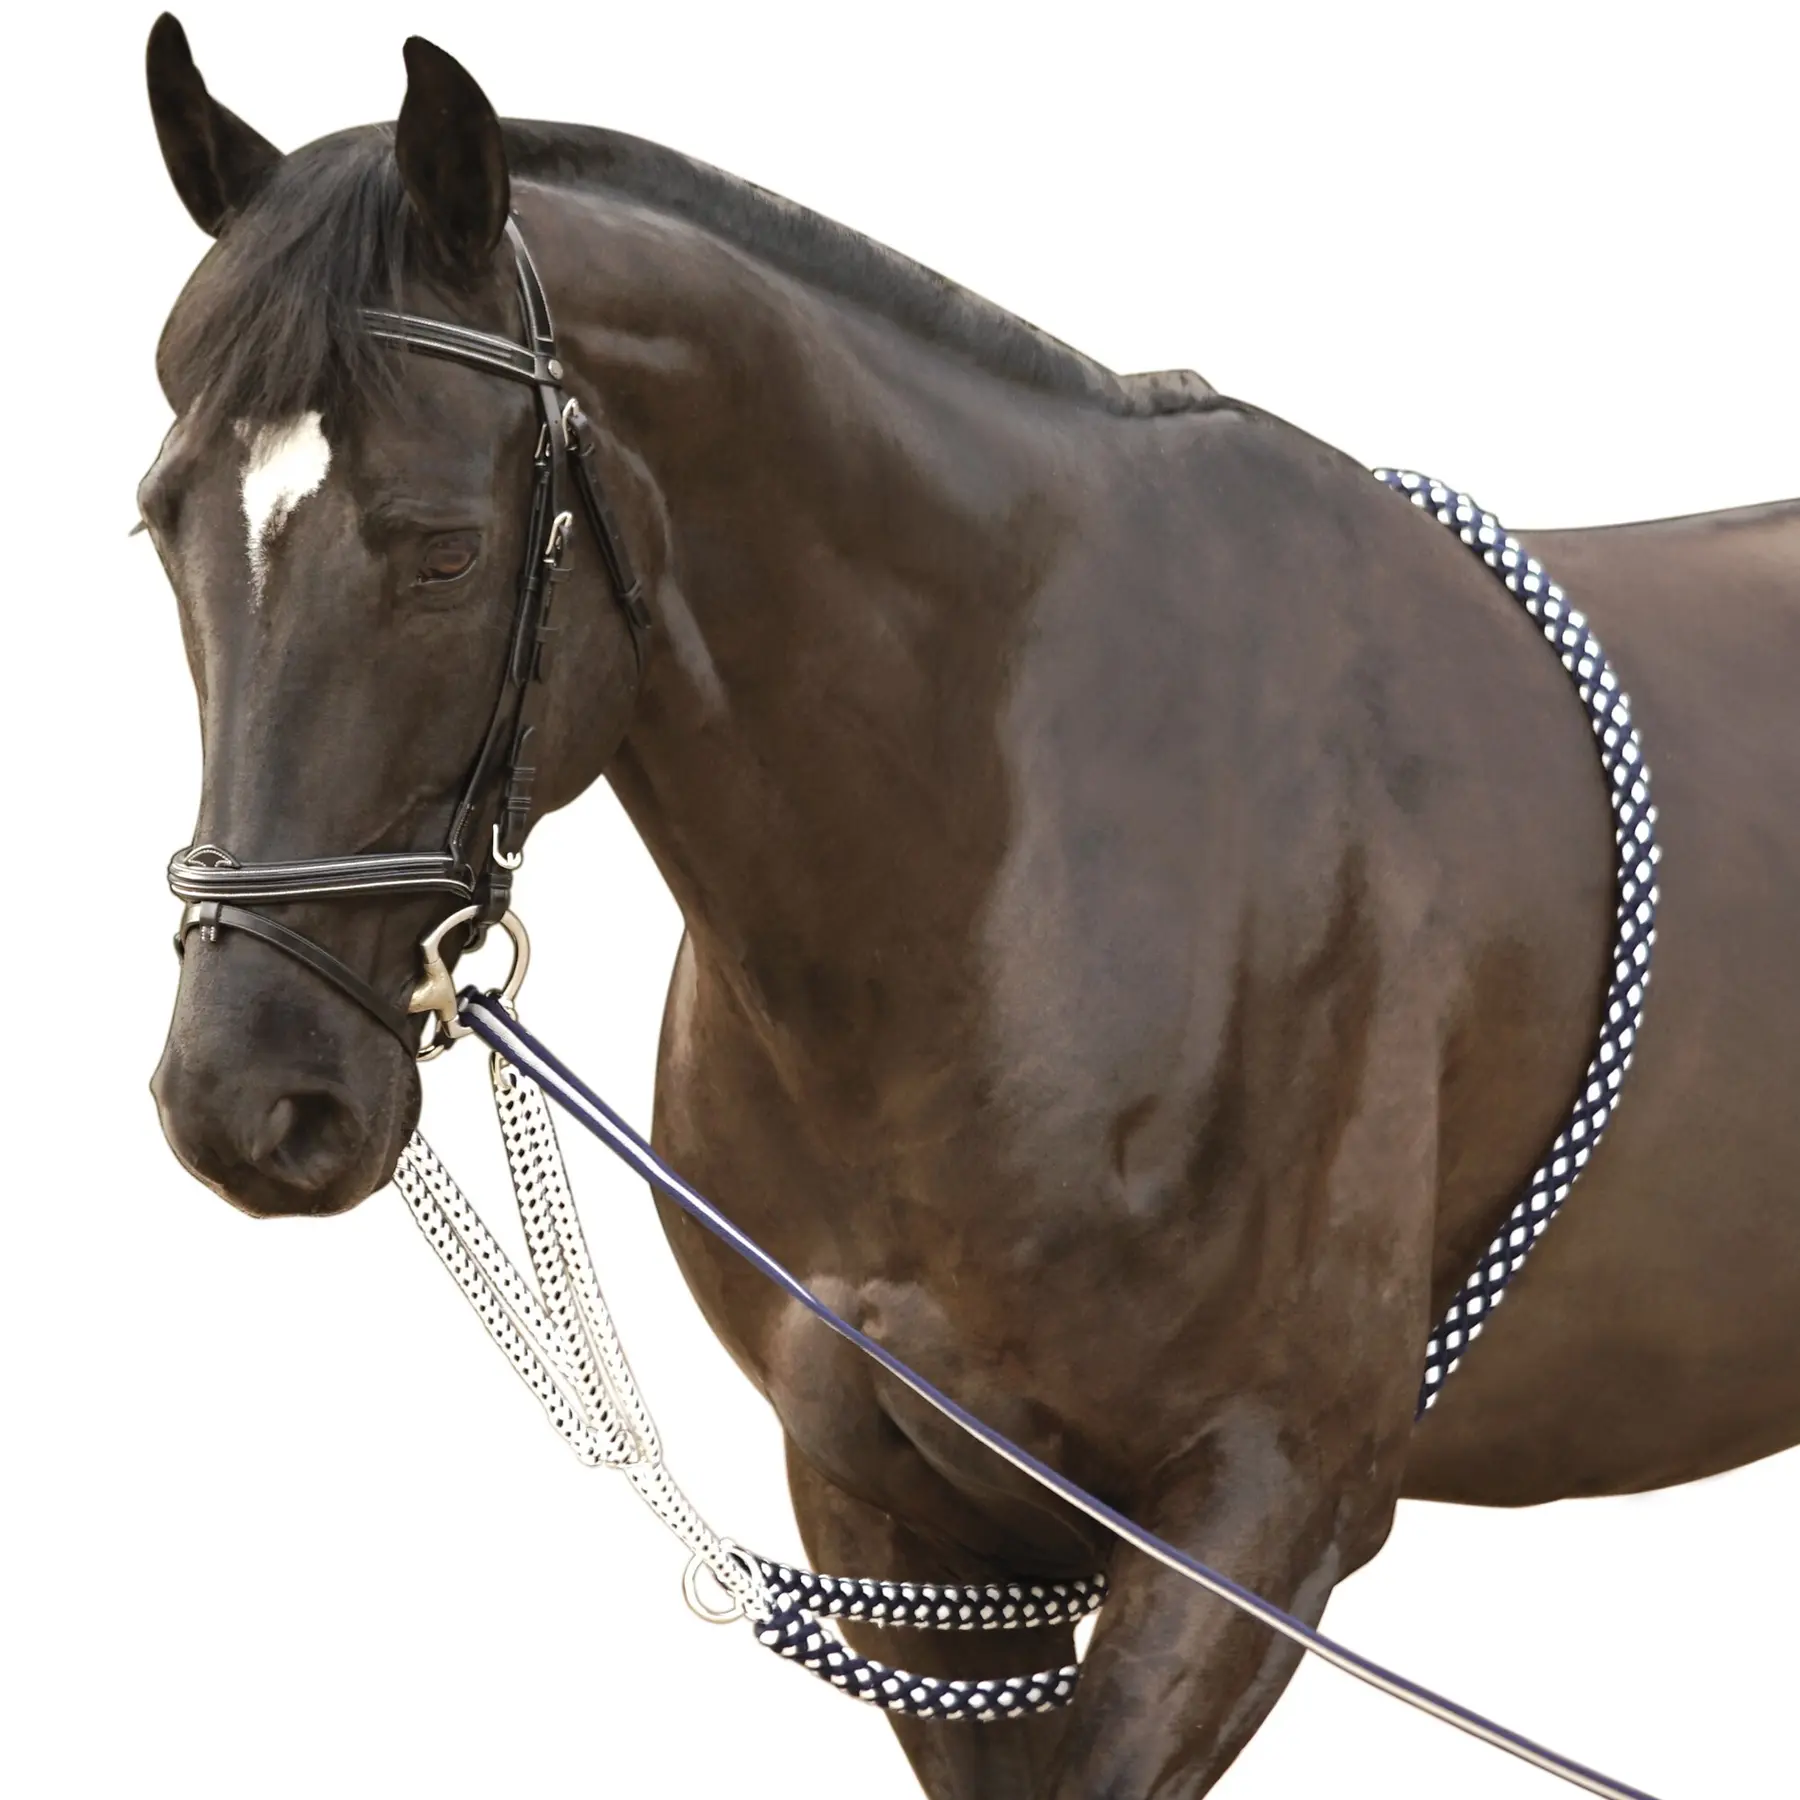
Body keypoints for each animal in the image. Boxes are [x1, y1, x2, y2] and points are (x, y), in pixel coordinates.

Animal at [140, 16, 1800, 1795]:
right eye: (162, 522)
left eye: (445, 551)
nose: (246, 1094)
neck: (1040, 863)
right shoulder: (889, 1504)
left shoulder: (1257, 1512)